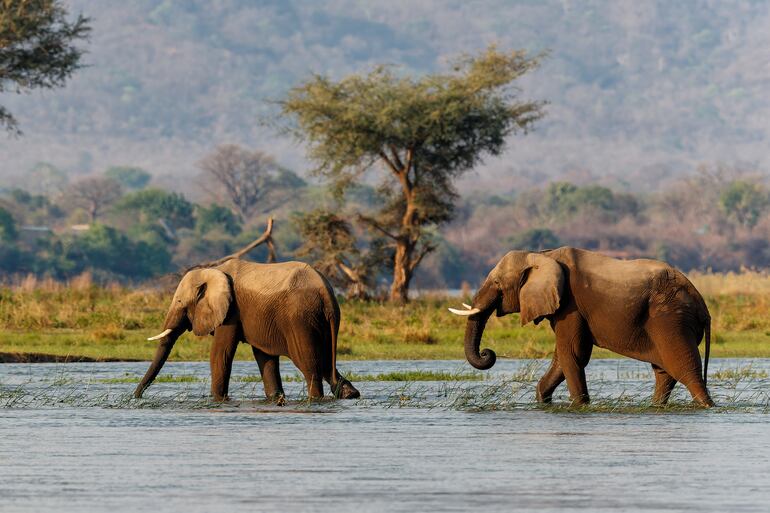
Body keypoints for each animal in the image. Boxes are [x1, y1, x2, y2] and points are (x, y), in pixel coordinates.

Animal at [135, 259, 360, 401]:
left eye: (180, 302)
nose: (135, 397)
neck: (213, 270)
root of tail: (326, 293)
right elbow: (264, 356)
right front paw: (275, 398)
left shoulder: (231, 311)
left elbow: (220, 353)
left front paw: (218, 400)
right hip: (320, 321)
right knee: (326, 362)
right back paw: (350, 394)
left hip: (300, 319)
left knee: (309, 364)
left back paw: (317, 398)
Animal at [449, 247, 714, 407]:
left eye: (496, 282)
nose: (488, 353)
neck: (542, 255)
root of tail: (702, 305)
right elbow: (562, 356)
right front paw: (543, 401)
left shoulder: (571, 304)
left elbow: (572, 353)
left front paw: (580, 406)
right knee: (664, 373)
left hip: (671, 319)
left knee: (686, 371)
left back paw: (706, 405)